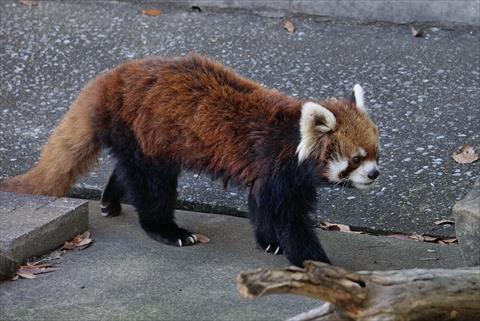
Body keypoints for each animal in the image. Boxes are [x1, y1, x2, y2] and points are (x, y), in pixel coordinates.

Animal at [1, 54, 380, 264]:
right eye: (356, 158)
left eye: (377, 154)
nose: (375, 174)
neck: (293, 137)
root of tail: (107, 81)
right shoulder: (276, 167)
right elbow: (288, 217)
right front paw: (317, 262)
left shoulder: (270, 174)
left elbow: (261, 205)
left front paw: (269, 241)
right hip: (144, 128)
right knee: (153, 186)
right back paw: (167, 230)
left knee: (131, 170)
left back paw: (110, 199)